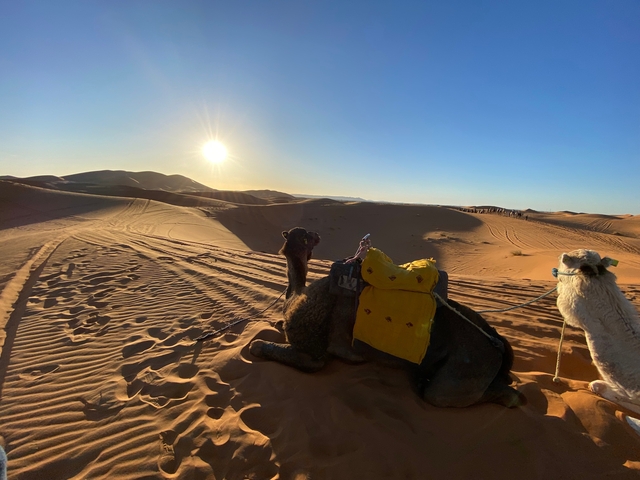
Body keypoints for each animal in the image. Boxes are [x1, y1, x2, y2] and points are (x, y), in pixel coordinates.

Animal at [250, 227, 525, 408]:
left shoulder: (313, 350)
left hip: (463, 371)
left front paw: (257, 345)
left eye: (307, 234)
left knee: (441, 394)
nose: (317, 235)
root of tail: (496, 342)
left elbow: (270, 349)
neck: (298, 294)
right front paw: (275, 323)